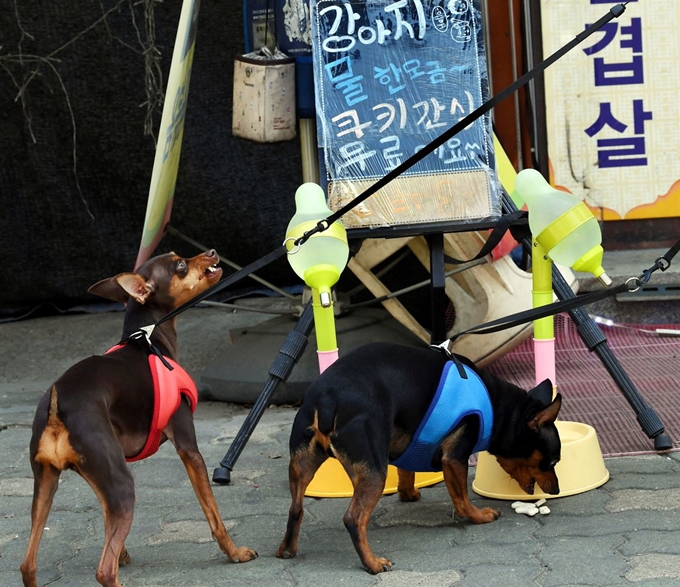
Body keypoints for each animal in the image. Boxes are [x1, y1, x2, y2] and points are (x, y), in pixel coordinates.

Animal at [19, 252, 258, 587]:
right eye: (180, 265)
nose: (211, 252)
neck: (148, 340)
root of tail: (57, 404)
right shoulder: (188, 449)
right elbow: (213, 513)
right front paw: (234, 553)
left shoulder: (101, 480)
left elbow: (107, 522)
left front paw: (121, 552)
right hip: (121, 485)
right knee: (104, 572)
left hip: (46, 486)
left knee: (28, 565)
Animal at [274, 340, 560, 576]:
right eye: (552, 462)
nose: (556, 490)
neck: (497, 406)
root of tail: (328, 396)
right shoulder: (454, 458)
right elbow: (462, 499)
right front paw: (478, 516)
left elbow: (406, 471)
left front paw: (408, 493)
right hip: (374, 472)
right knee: (353, 519)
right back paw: (372, 563)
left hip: (301, 463)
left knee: (296, 508)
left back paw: (286, 549)